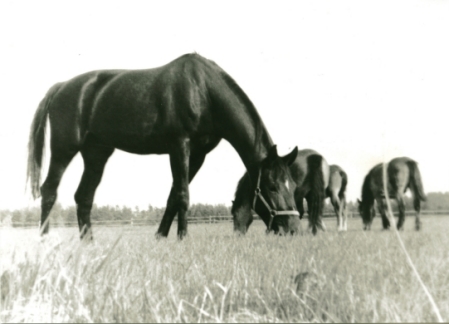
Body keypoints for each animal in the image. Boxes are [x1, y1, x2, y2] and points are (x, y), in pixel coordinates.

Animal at [26, 53, 300, 239]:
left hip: (96, 154)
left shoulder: (198, 154)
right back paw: (45, 241)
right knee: (50, 189)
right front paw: (182, 237)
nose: (294, 228)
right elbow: (183, 195)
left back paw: (88, 244)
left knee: (83, 197)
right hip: (64, 148)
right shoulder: (180, 147)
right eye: (272, 187)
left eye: (293, 184)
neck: (203, 90)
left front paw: (161, 237)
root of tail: (61, 87)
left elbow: (173, 196)